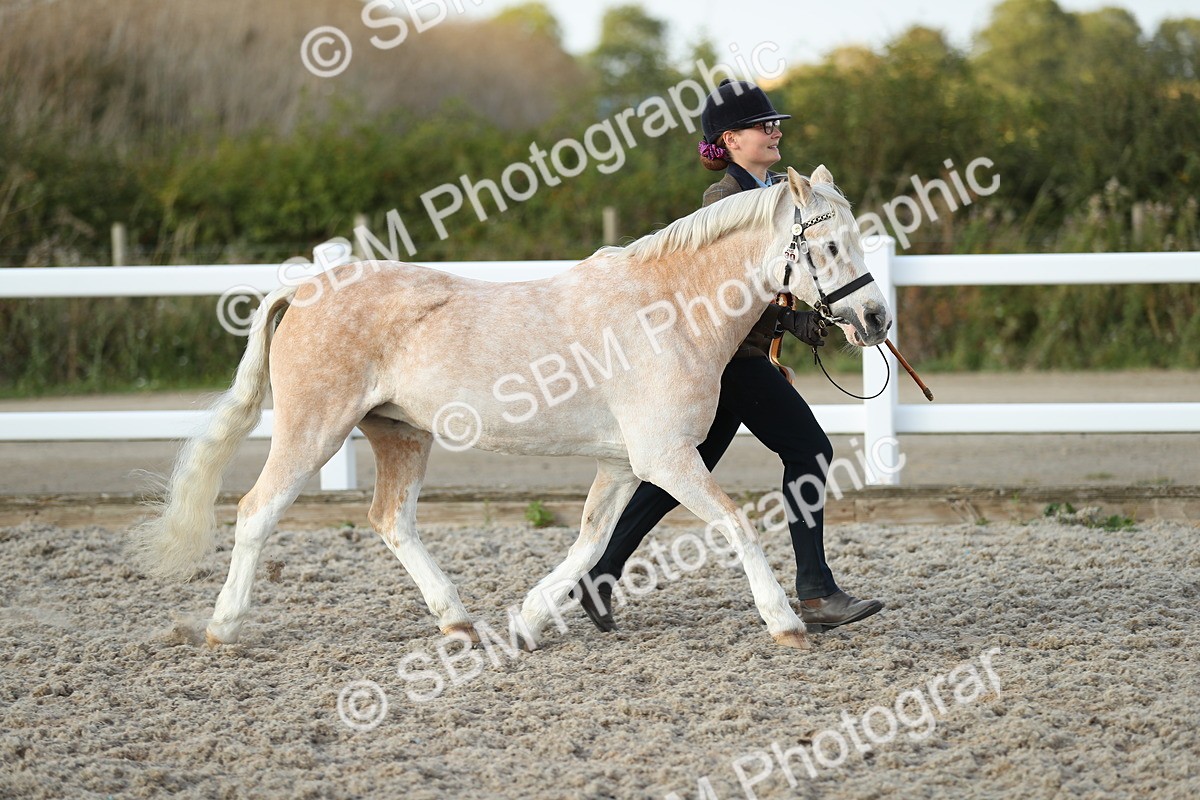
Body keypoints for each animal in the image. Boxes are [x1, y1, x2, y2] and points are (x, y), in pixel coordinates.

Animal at [130, 165, 892, 651]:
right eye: (828, 244)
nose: (877, 318)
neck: (670, 311)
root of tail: (307, 288)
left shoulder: (626, 463)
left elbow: (589, 540)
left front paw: (527, 623)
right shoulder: (665, 457)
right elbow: (735, 525)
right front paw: (785, 624)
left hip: (400, 434)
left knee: (391, 520)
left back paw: (459, 624)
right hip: (314, 428)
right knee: (257, 510)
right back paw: (223, 629)